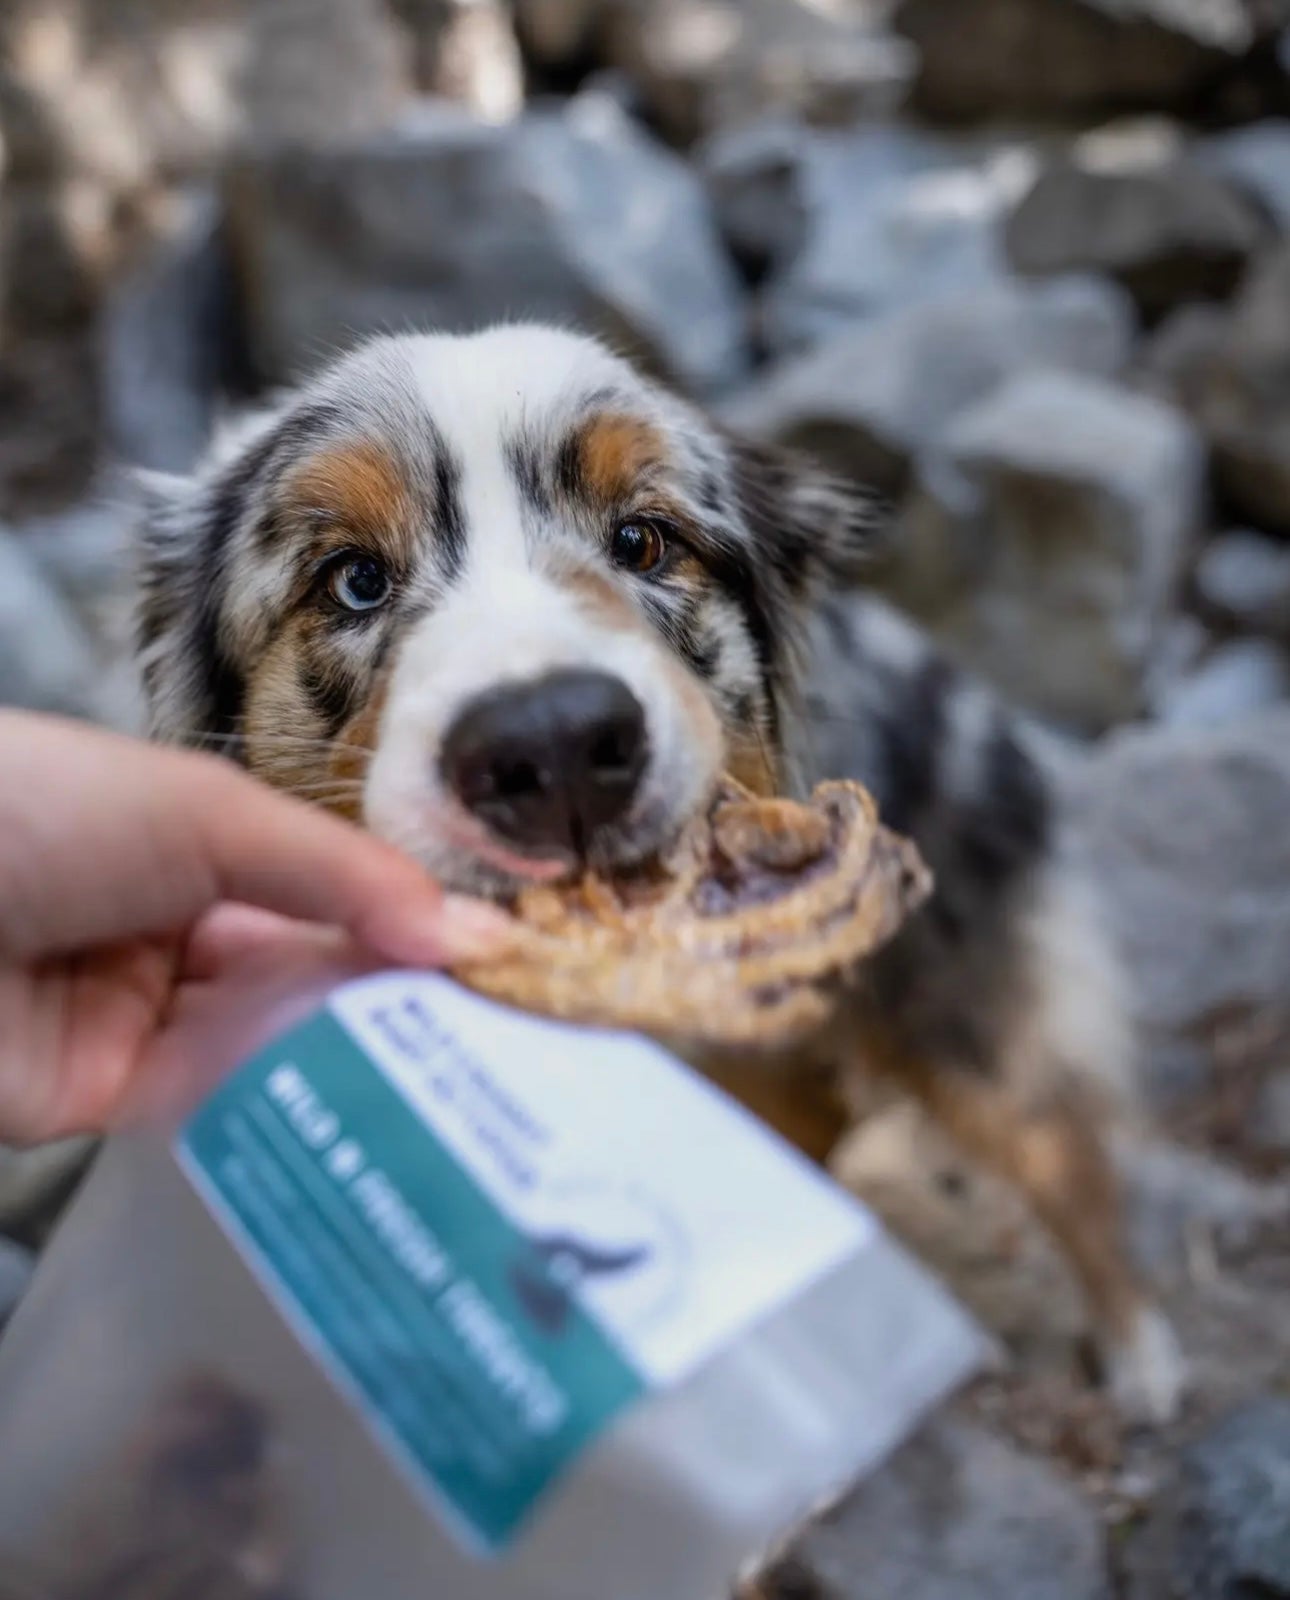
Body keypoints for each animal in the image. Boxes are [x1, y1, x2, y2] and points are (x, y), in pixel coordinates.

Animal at [136, 318, 1184, 1420]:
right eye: (354, 578)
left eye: (643, 540)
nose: (553, 746)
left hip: (972, 1021)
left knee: (1065, 1150)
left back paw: (1138, 1350)